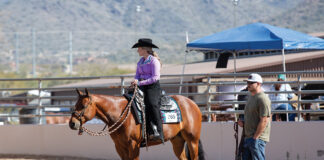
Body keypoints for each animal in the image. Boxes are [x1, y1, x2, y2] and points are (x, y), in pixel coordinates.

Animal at [69, 89, 204, 160]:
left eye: (83, 106)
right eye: (75, 105)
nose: (72, 123)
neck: (122, 113)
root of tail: (192, 103)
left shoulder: (133, 145)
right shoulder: (119, 146)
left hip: (192, 140)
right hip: (177, 140)